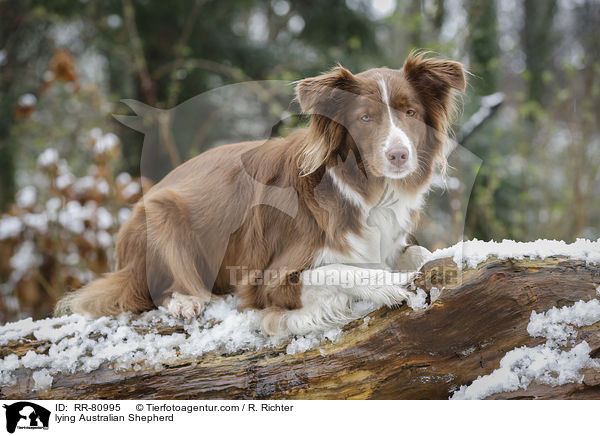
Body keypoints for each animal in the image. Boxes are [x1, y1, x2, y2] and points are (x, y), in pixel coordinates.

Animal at [56, 52, 466, 336]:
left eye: (410, 113)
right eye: (366, 118)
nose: (399, 155)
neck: (364, 191)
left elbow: (420, 254)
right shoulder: (267, 278)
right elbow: (337, 271)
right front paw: (382, 287)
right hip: (160, 212)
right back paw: (185, 300)